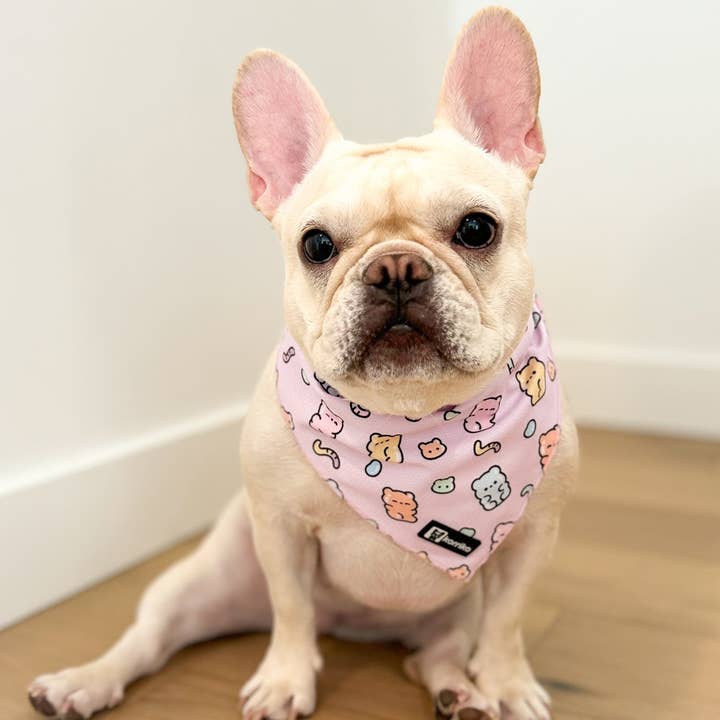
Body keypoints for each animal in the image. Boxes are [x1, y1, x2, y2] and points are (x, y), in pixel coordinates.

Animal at [28, 7, 579, 720]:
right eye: (316, 245)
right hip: (204, 581)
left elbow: (507, 621)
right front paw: (286, 679)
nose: (395, 267)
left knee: (438, 654)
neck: (410, 422)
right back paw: (81, 681)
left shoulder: (532, 537)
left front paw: (507, 684)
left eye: (477, 229)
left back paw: (462, 693)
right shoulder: (280, 531)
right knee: (149, 638)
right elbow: (291, 611)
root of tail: (358, 626)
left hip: (454, 611)